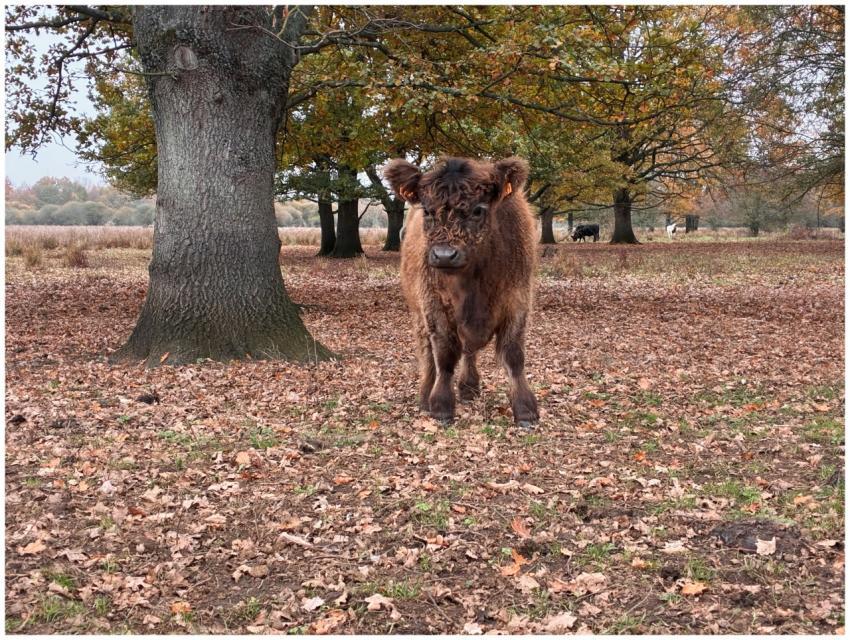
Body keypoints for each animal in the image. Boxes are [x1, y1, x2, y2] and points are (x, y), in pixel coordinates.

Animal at [384, 156, 539, 428]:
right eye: (427, 210)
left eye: (478, 210)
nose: (444, 255)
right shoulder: (434, 307)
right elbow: (444, 355)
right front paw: (441, 407)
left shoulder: (517, 301)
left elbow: (514, 356)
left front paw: (525, 411)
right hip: (418, 314)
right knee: (428, 355)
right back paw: (426, 395)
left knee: (468, 350)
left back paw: (468, 387)